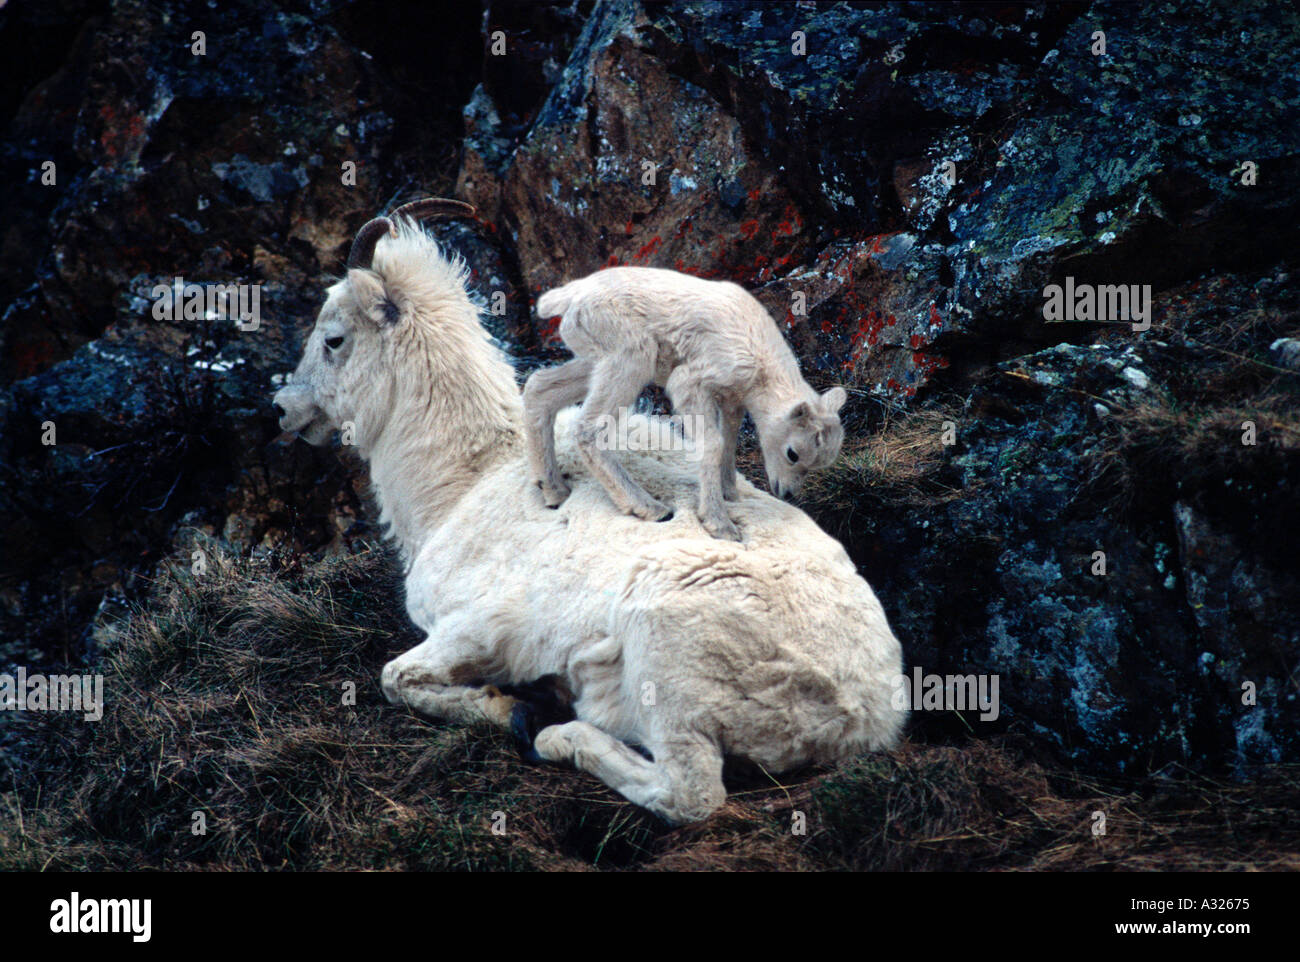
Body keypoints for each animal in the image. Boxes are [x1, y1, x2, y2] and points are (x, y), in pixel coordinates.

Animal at [524, 266, 847, 541]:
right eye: (793, 453)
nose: (788, 493)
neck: (760, 364)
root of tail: (570, 296)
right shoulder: (690, 383)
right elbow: (714, 443)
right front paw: (720, 525)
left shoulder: (731, 399)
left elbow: (729, 441)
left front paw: (730, 494)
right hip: (631, 358)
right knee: (587, 428)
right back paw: (649, 508)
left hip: (596, 360)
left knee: (539, 388)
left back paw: (554, 490)